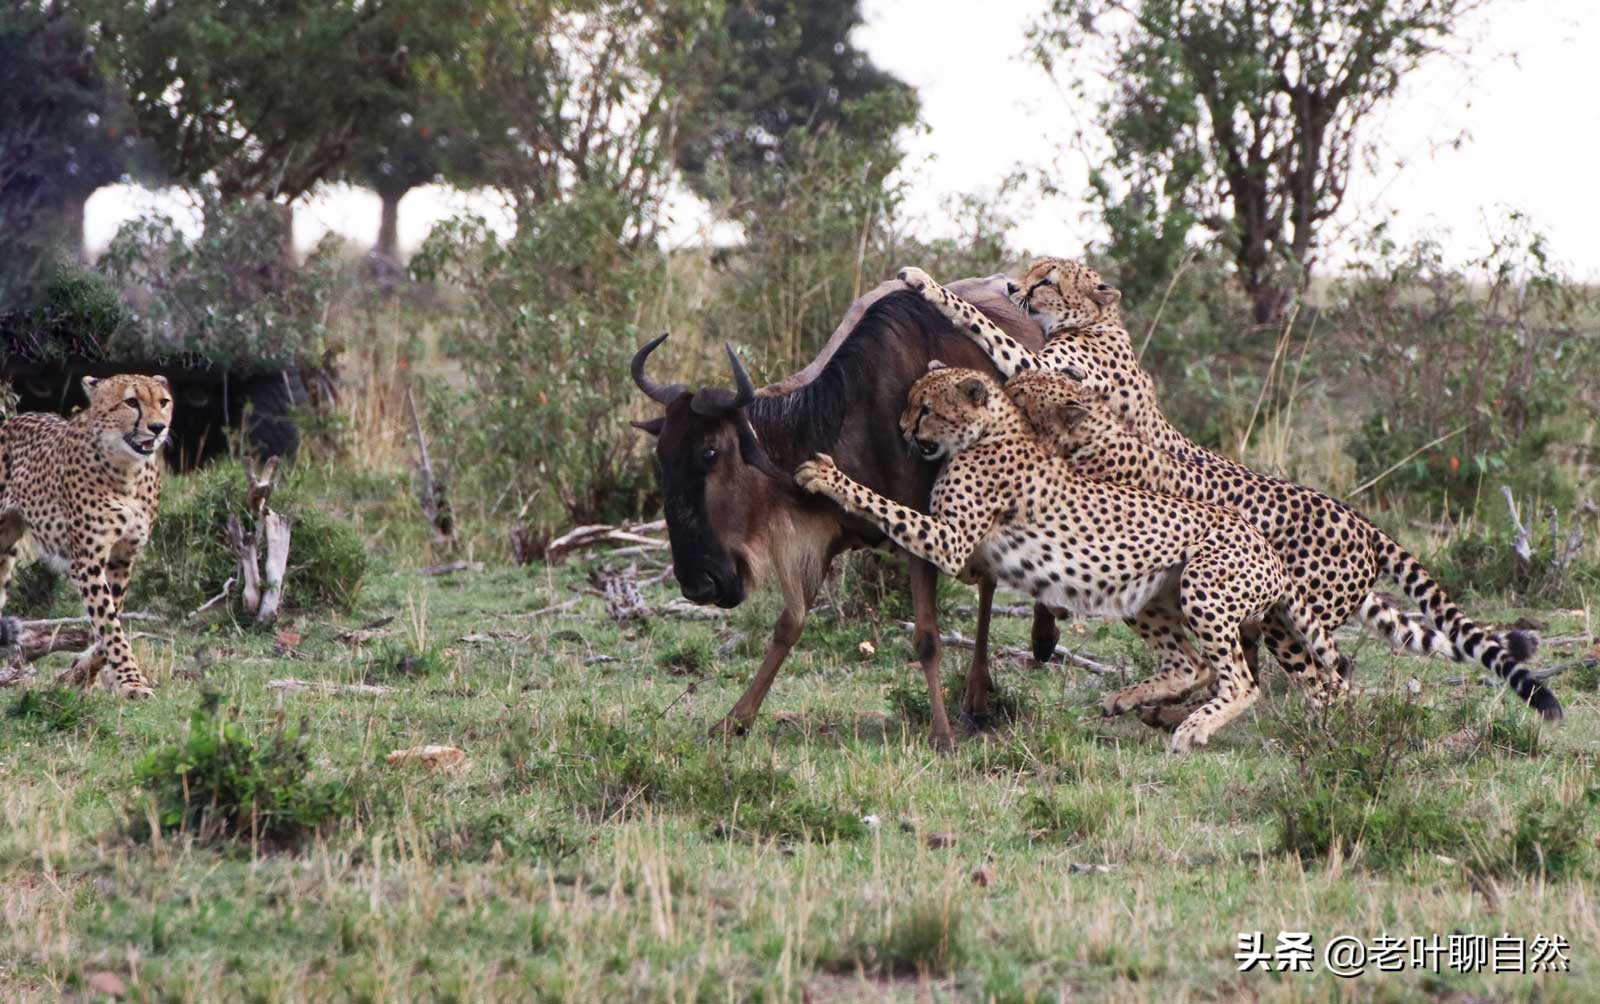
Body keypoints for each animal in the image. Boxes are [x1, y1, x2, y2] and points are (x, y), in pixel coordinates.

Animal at [0, 372, 173, 693]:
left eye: (163, 402)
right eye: (132, 402)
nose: (158, 428)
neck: (128, 472)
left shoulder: (121, 558)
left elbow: (109, 623)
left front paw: (80, 674)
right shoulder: (87, 562)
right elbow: (109, 625)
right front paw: (132, 681)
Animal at [793, 364, 1344, 748]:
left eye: (925, 408)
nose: (904, 429)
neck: (991, 432)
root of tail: (1265, 544)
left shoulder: (951, 544)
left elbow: (888, 507)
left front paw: (829, 478)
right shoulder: (970, 559)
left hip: (1202, 588)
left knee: (1241, 681)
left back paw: (1192, 729)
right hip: (1143, 593)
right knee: (1190, 664)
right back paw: (1125, 699)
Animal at [902, 262, 1561, 716]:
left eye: (1046, 279)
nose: (1015, 287)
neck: (1100, 325)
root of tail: (1364, 524)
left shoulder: (1046, 370)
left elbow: (991, 334)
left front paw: (926, 283)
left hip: (1280, 618)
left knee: (1324, 680)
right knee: (1294, 674)